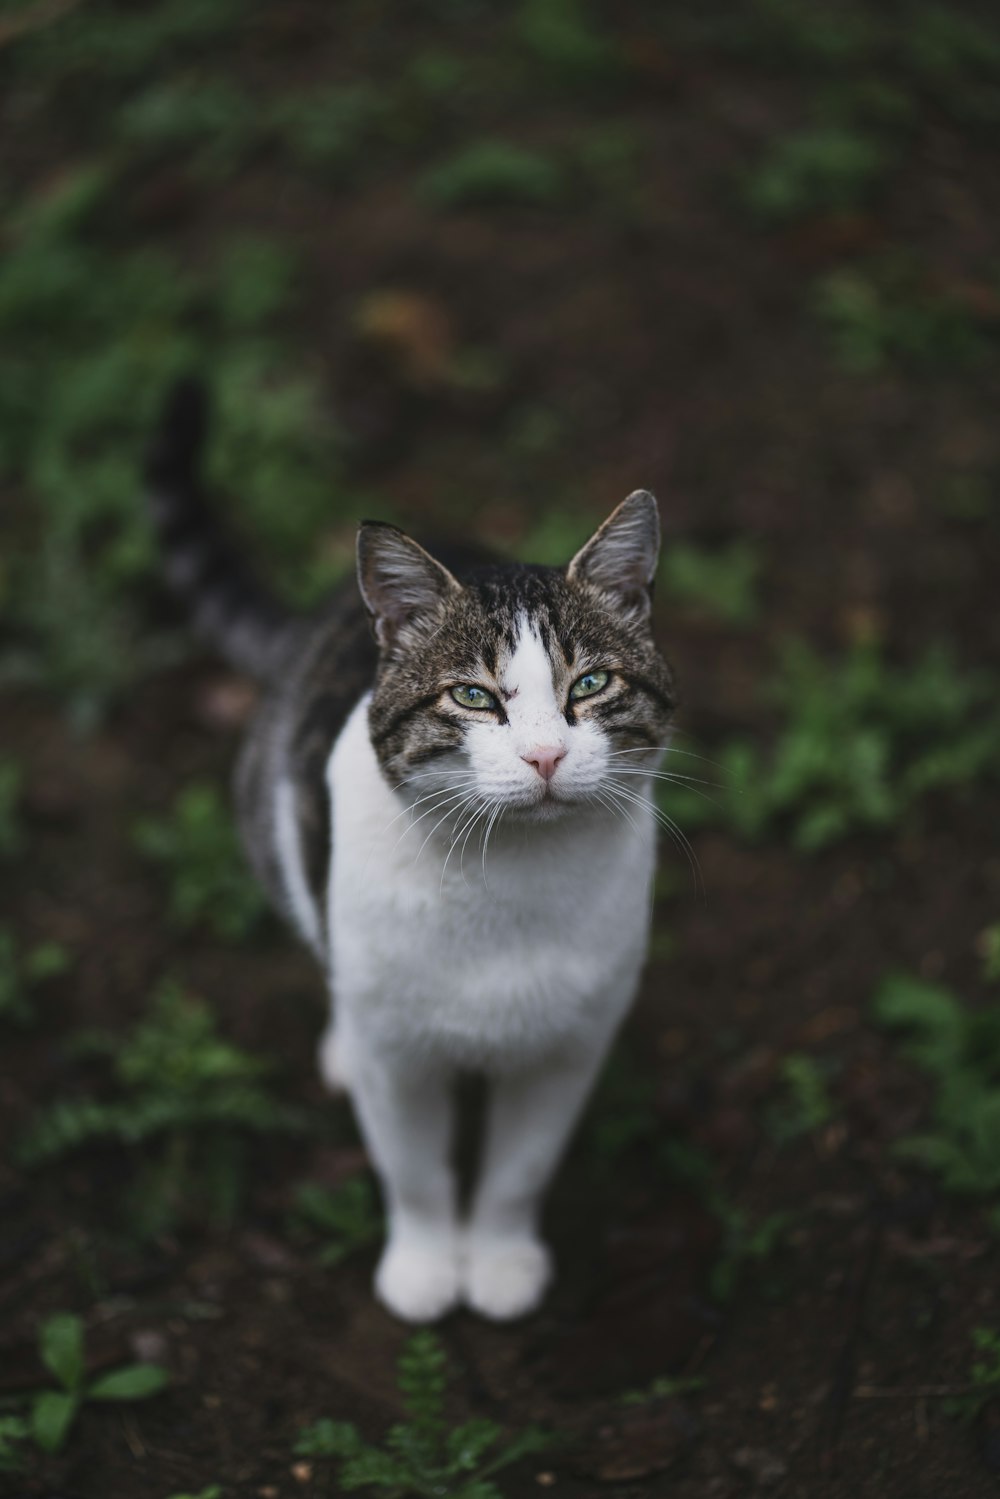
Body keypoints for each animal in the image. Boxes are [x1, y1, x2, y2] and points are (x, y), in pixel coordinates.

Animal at [148, 383, 677, 1325]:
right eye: (473, 695)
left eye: (590, 684)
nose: (545, 755)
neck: (512, 878)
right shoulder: (399, 1058)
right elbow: (417, 1171)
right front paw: (426, 1272)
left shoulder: (572, 1044)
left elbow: (518, 1168)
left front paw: (499, 1264)